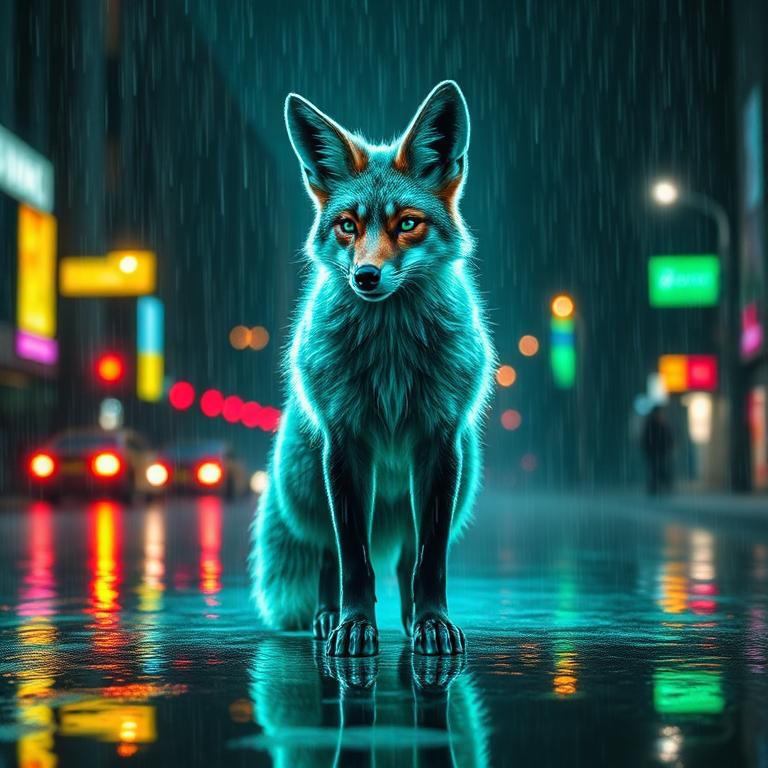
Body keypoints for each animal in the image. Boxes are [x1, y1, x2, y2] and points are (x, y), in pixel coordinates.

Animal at [250, 80, 494, 657]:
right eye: (348, 226)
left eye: (407, 223)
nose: (365, 276)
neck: (391, 363)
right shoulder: (345, 442)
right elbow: (353, 561)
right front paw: (354, 626)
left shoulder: (438, 441)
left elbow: (429, 562)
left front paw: (432, 623)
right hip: (310, 481)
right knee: (325, 554)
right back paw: (326, 618)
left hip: (459, 477)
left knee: (406, 558)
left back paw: (410, 621)